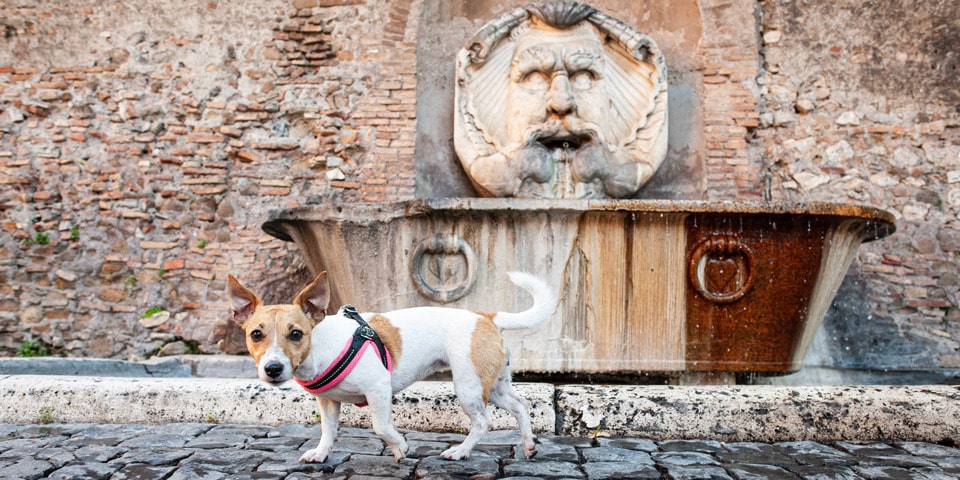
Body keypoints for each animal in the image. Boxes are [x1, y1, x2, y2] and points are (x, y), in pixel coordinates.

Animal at [228, 270, 556, 462]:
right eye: (255, 334)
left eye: (296, 334)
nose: (272, 368)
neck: (319, 347)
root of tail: (484, 315)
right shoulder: (328, 402)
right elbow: (327, 430)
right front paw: (321, 453)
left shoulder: (378, 389)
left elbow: (381, 427)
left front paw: (401, 447)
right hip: (493, 384)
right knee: (520, 405)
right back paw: (528, 444)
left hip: (468, 387)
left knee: (483, 422)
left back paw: (460, 451)